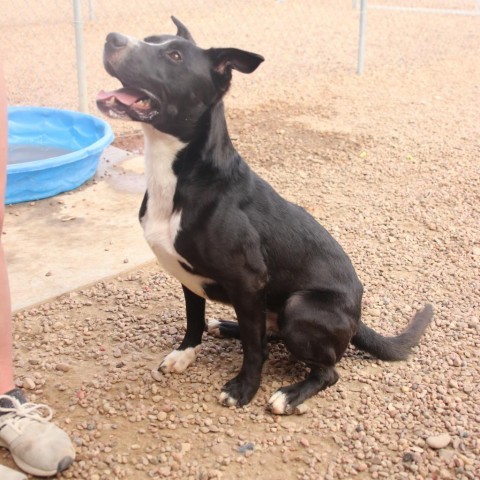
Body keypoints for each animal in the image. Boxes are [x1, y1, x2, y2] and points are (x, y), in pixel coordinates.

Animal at [96, 16, 432, 414]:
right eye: (149, 39)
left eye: (175, 56)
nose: (112, 38)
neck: (180, 175)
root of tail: (357, 319)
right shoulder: (188, 277)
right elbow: (194, 320)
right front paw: (185, 353)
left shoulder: (249, 281)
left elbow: (253, 350)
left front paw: (245, 388)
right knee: (266, 334)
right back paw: (228, 327)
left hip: (298, 307)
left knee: (325, 369)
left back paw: (290, 394)